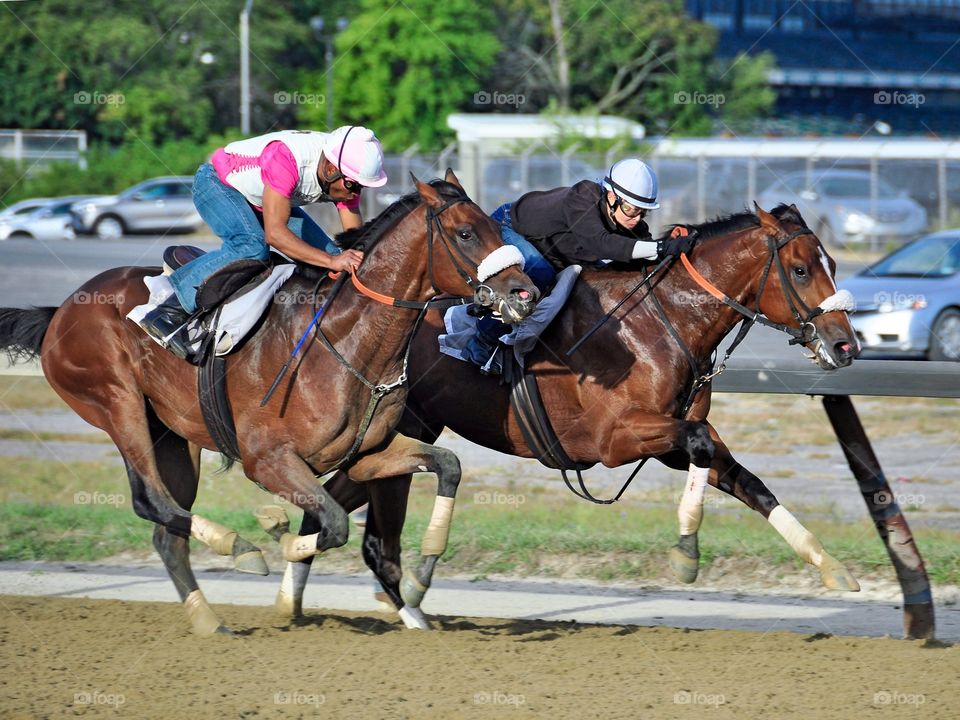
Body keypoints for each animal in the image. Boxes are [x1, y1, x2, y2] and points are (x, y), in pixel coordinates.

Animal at [0, 174, 540, 636]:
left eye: (498, 227)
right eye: (466, 233)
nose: (526, 292)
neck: (347, 340)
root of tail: (59, 310)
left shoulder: (365, 455)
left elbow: (448, 466)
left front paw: (421, 576)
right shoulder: (267, 459)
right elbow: (334, 524)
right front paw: (275, 533)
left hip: (173, 437)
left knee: (166, 530)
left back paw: (208, 619)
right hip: (118, 403)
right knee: (150, 500)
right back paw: (240, 549)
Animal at [268, 200, 864, 620]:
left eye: (832, 263)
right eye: (801, 269)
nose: (845, 346)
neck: (662, 321)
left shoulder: (669, 438)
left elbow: (743, 477)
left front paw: (832, 566)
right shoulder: (615, 439)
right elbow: (700, 444)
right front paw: (687, 553)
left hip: (398, 432)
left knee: (335, 503)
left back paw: (298, 597)